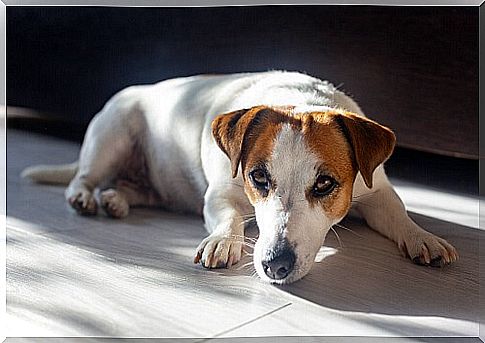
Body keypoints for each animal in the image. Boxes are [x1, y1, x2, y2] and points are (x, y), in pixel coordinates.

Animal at [21, 70, 458, 284]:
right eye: (259, 178)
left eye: (325, 184)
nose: (276, 265)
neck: (299, 97)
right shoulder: (222, 194)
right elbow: (230, 215)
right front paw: (222, 241)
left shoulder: (378, 191)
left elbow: (399, 215)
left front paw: (424, 238)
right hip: (111, 135)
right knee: (84, 176)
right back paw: (84, 196)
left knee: (136, 189)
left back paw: (116, 199)